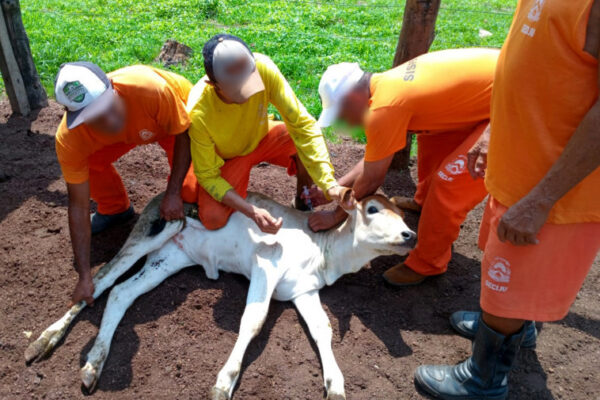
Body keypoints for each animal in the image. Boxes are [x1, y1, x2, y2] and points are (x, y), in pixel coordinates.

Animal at [24, 191, 418, 400]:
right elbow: (254, 321)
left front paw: (336, 384)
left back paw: (94, 364)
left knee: (122, 292)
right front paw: (224, 381)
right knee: (103, 278)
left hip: (169, 259)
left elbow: (323, 329)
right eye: (372, 209)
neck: (324, 254)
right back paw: (44, 340)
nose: (410, 235)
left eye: (402, 214)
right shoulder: (265, 264)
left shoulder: (304, 290)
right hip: (152, 232)